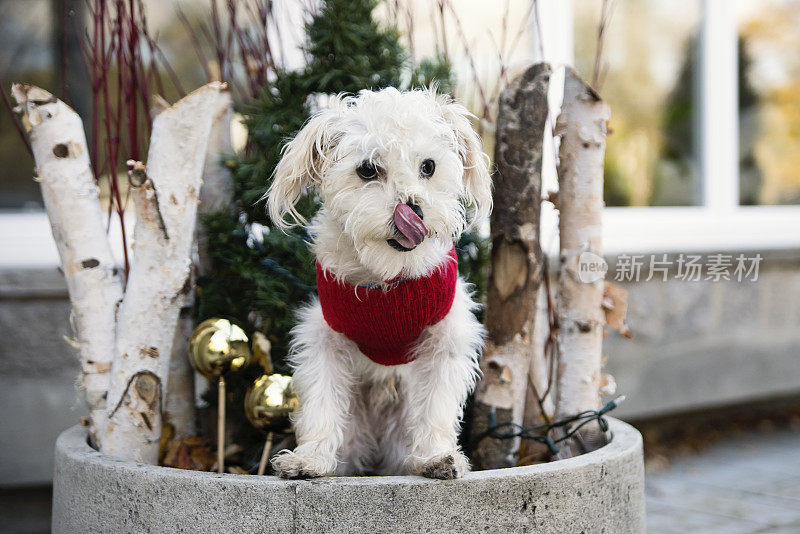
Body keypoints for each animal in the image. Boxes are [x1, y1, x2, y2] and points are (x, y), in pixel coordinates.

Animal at [268, 88, 490, 482]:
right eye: (368, 169)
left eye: (428, 166)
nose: (413, 212)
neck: (387, 279)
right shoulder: (324, 337)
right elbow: (322, 402)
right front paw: (310, 459)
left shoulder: (445, 337)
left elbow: (435, 405)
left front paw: (436, 456)